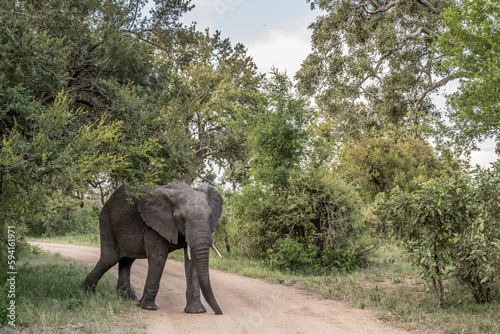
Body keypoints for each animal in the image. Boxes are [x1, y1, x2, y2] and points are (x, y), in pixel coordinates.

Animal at [79, 183, 223, 316]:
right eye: (182, 219)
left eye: (210, 217)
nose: (219, 313)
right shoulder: (153, 224)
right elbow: (158, 257)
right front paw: (147, 307)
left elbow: (192, 261)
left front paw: (196, 311)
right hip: (106, 220)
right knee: (109, 259)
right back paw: (85, 294)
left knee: (127, 260)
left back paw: (128, 299)